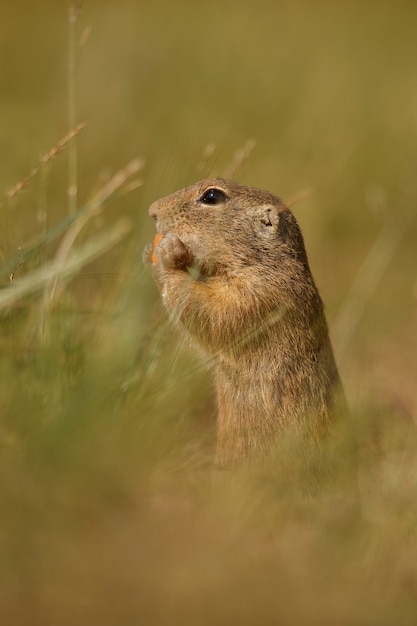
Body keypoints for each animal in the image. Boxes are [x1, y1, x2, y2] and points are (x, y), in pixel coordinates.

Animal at [146, 178, 344, 466]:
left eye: (212, 196)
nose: (152, 210)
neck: (263, 262)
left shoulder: (260, 297)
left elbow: (214, 311)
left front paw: (167, 252)